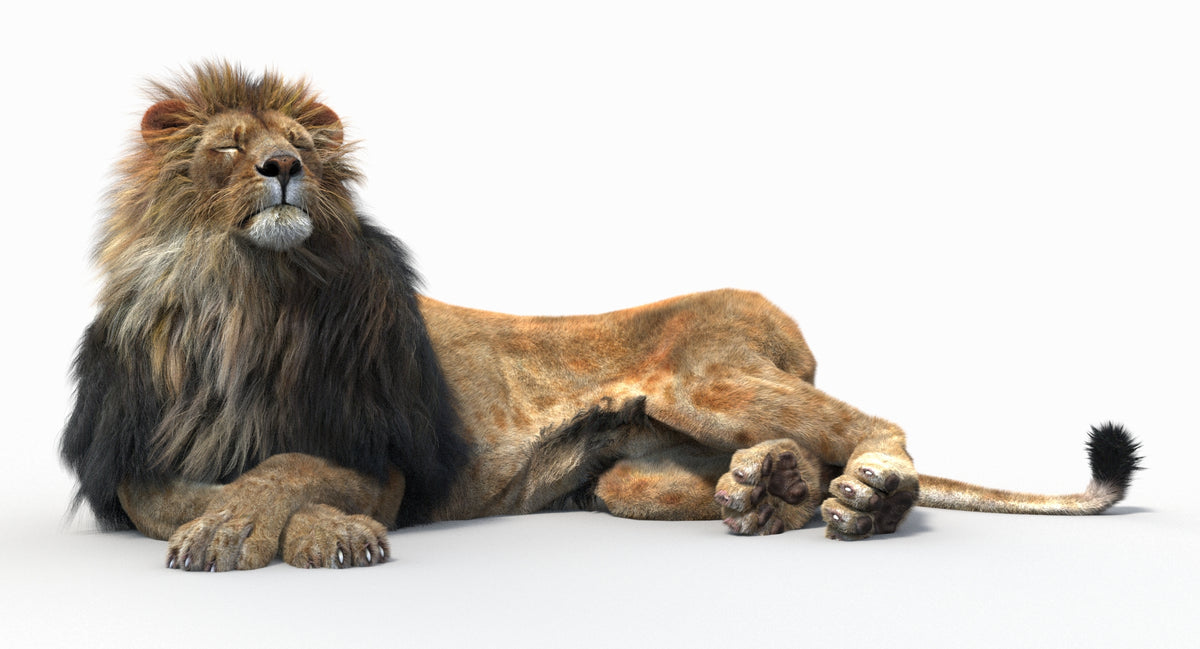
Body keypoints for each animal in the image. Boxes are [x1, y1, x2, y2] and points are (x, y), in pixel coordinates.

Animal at [61, 62, 1143, 571]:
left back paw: (864, 496)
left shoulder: (380, 447)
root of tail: (789, 328)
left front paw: (305, 531)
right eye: (231, 149)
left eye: (300, 146)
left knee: (879, 425)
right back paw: (769, 489)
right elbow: (168, 493)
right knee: (772, 463)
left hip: (709, 377)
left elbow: (288, 466)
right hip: (627, 473)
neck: (239, 303)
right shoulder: (135, 453)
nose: (284, 167)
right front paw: (248, 526)